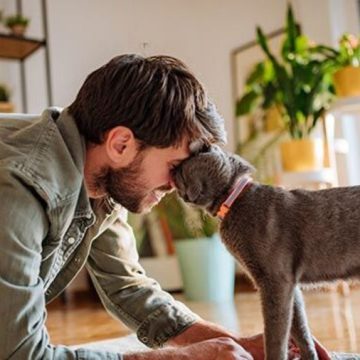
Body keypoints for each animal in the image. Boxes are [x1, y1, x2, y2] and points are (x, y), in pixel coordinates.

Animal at [173, 143, 358, 360]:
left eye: (180, 170)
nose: (180, 193)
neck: (233, 202)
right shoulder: (289, 284)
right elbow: (299, 329)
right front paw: (308, 356)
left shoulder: (275, 280)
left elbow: (275, 336)